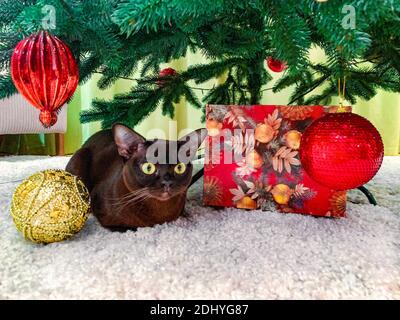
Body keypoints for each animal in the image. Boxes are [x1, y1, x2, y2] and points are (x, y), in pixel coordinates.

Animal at [65, 124, 206, 231]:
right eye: (148, 168)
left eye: (179, 168)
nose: (167, 182)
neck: (160, 214)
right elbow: (131, 227)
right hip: (80, 157)